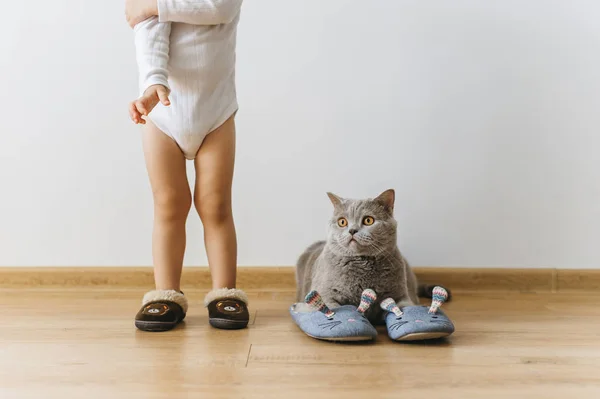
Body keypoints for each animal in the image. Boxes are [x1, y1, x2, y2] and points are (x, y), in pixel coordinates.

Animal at [296, 190, 420, 324]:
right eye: (342, 222)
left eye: (368, 220)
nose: (352, 230)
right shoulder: (325, 293)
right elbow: (329, 306)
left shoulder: (400, 295)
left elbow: (405, 305)